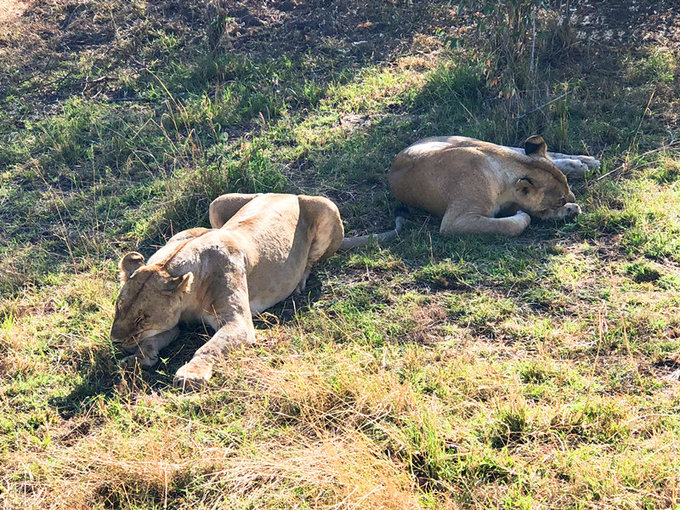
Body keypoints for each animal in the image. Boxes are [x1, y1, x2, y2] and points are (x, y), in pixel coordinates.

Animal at [109, 193, 402, 388]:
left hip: (327, 207)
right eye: (118, 309)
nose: (115, 341)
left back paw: (300, 282)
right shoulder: (172, 323)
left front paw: (192, 374)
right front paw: (136, 360)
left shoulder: (238, 322)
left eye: (142, 318)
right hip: (218, 202)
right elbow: (150, 341)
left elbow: (209, 348)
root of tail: (287, 193)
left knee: (312, 260)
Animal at [388, 136, 600, 238]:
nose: (573, 200)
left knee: (539, 153)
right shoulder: (454, 222)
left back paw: (586, 163)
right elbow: (507, 225)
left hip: (472, 141)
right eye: (560, 199)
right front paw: (568, 210)